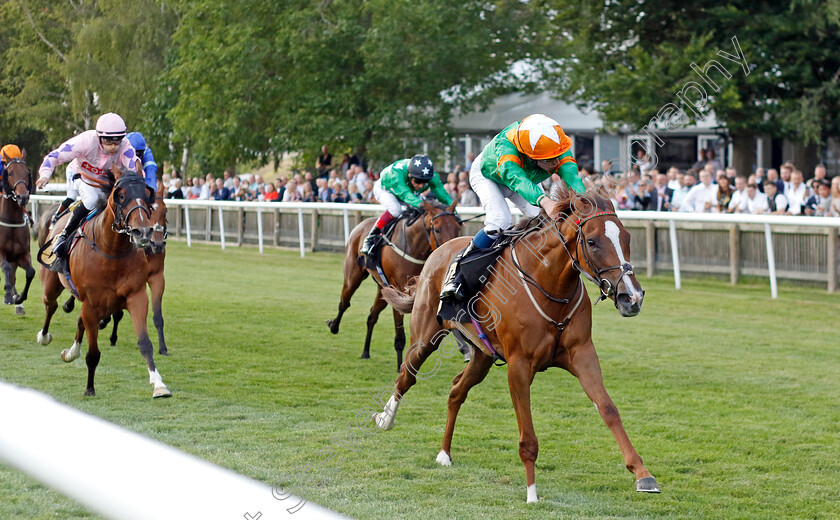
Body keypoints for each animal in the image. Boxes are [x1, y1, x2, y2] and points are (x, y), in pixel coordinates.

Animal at [63, 183, 170, 354]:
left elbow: (157, 315)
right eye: (150, 210)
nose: (158, 244)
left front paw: (163, 348)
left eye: (164, 211)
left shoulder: (155, 276)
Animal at [326, 201, 460, 372]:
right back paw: (333, 326)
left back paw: (365, 352)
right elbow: (400, 335)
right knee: (344, 302)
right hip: (353, 276)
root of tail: (361, 224)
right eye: (436, 229)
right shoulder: (399, 290)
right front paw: (399, 366)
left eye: (458, 227)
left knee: (371, 316)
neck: (412, 245)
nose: (452, 252)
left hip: (383, 290)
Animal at [374, 187, 656, 504]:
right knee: (406, 375)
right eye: (592, 242)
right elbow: (528, 438)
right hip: (425, 337)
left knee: (457, 390)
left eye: (626, 238)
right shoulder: (520, 366)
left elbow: (608, 409)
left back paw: (444, 453)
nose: (631, 297)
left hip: (482, 356)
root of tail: (438, 252)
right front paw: (532, 493)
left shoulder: (582, 353)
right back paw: (385, 418)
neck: (550, 285)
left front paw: (642, 474)